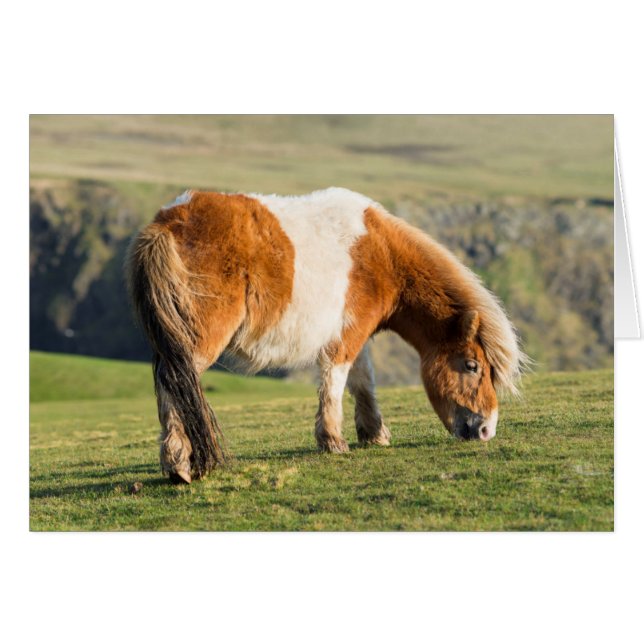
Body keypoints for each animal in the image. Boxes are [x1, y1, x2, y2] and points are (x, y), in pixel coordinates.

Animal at [126, 187, 526, 484]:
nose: (486, 430)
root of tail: (167, 222)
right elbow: (335, 381)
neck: (381, 253)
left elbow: (364, 382)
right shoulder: (347, 337)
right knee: (174, 381)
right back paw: (178, 464)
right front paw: (334, 441)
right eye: (472, 366)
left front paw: (374, 434)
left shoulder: (358, 334)